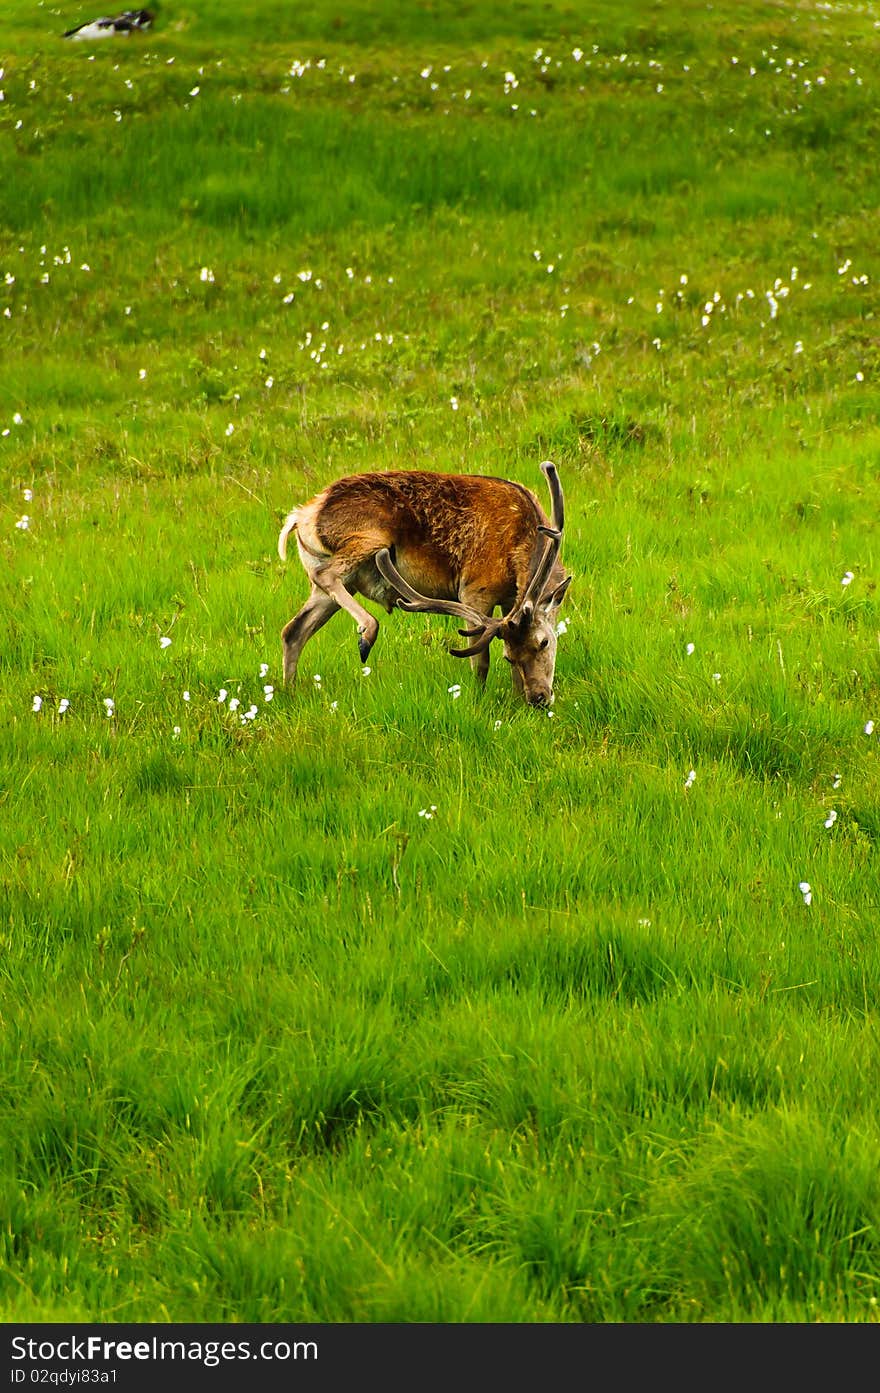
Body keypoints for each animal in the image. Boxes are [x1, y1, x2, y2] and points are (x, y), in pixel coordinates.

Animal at [278, 462, 573, 707]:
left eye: (544, 642)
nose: (539, 699)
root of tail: (301, 516)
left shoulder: (510, 599)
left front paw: (517, 702)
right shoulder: (475, 589)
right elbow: (479, 661)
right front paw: (478, 702)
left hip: (335, 579)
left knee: (293, 630)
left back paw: (288, 692)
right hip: (367, 537)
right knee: (326, 575)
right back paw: (367, 633)